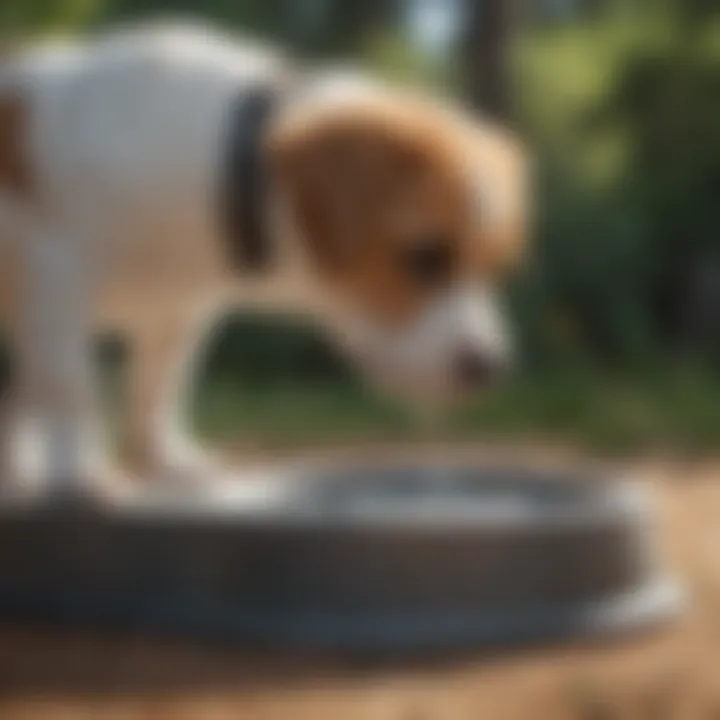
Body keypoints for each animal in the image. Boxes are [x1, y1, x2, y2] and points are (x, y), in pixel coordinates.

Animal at [0, 18, 528, 500]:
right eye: (425, 256)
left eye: (495, 268)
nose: (490, 368)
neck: (230, 168)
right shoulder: (58, 273)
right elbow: (69, 384)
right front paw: (75, 473)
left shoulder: (179, 312)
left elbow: (160, 384)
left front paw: (166, 460)